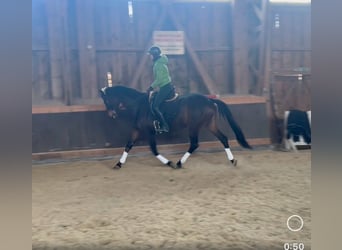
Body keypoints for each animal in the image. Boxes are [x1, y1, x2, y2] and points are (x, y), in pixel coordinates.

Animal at [99, 85, 251, 169]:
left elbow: (154, 150)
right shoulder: (137, 130)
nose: (111, 114)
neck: (139, 105)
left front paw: (169, 162)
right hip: (209, 124)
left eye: (106, 100)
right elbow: (128, 145)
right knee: (223, 138)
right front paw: (118, 164)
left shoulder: (149, 132)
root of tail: (209, 100)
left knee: (194, 144)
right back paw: (232, 160)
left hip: (194, 126)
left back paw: (179, 163)